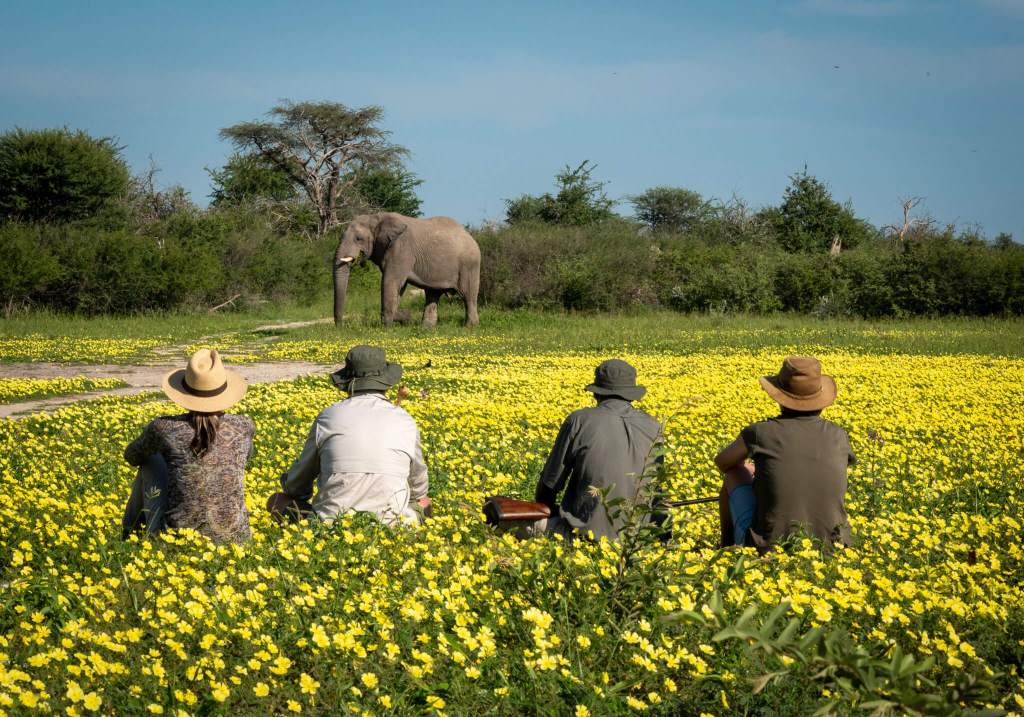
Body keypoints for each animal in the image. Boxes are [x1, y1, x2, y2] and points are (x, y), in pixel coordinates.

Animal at [333, 212, 481, 327]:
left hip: (469, 265)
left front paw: (389, 325)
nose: (340, 326)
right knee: (432, 294)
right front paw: (401, 317)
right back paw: (426, 328)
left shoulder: (401, 249)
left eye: (359, 239)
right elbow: (398, 287)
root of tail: (471, 237)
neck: (376, 217)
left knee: (468, 296)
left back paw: (469, 327)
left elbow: (390, 282)